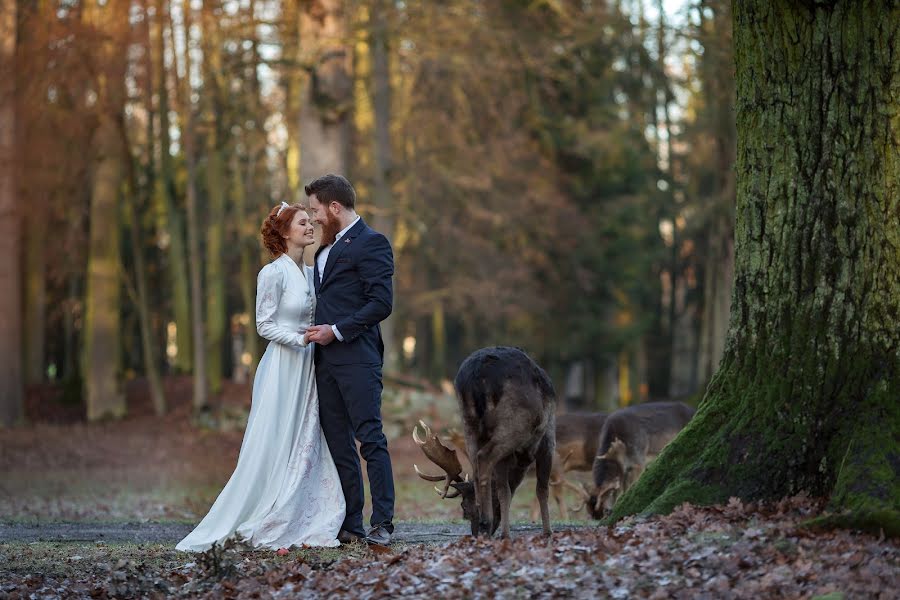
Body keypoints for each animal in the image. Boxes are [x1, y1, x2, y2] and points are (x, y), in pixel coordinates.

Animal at [414, 346, 556, 540]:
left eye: (463, 507)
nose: (473, 534)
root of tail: (477, 372)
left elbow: (505, 490)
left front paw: (504, 532)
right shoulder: (548, 440)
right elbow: (541, 489)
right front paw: (547, 532)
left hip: (469, 422)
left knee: (477, 465)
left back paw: (485, 524)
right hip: (514, 423)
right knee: (484, 458)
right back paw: (486, 523)